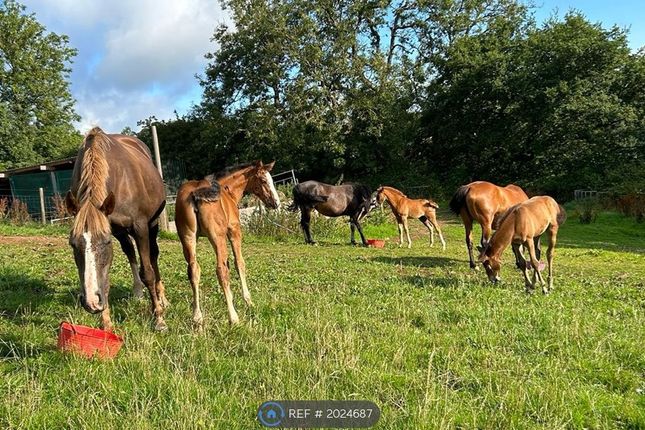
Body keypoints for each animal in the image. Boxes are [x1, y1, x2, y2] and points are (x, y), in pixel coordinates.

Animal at [63, 126, 166, 330]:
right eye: (72, 244)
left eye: (106, 242)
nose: (91, 303)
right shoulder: (114, 228)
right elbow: (104, 281)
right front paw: (107, 324)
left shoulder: (140, 227)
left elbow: (148, 272)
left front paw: (158, 318)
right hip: (121, 231)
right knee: (130, 252)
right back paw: (137, 291)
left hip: (152, 224)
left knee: (153, 255)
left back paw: (162, 298)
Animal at [174, 160, 280, 326]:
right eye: (263, 180)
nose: (276, 203)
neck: (227, 191)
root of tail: (194, 195)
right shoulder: (234, 232)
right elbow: (239, 263)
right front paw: (248, 301)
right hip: (218, 238)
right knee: (221, 270)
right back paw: (233, 317)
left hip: (187, 237)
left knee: (194, 269)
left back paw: (197, 317)